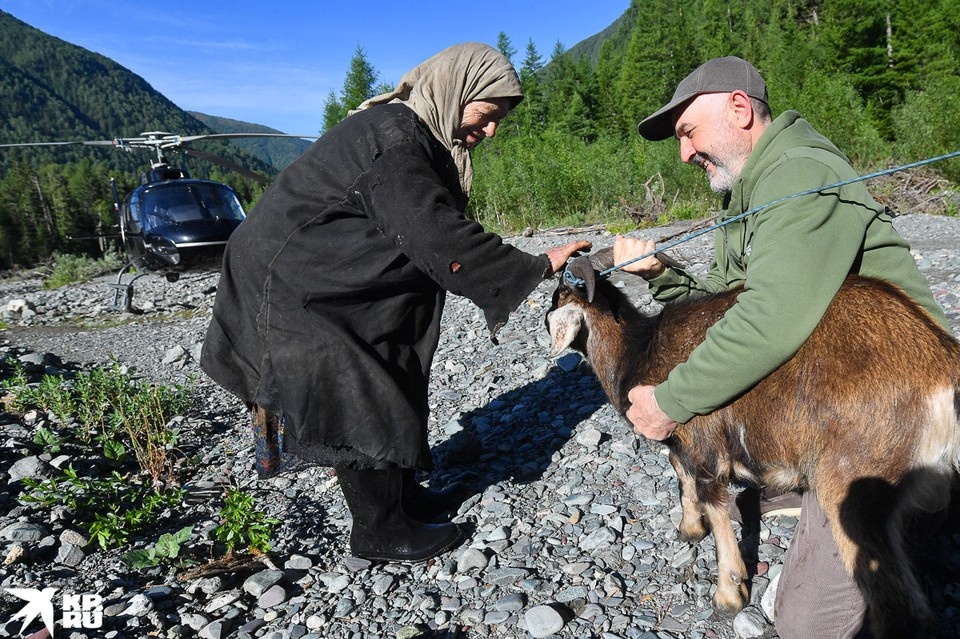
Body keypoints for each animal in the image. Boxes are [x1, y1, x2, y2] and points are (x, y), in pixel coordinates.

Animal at [548, 248, 960, 636]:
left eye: (557, 296)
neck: (640, 351)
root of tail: (942, 364)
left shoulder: (704, 443)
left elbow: (713, 504)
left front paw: (728, 594)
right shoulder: (678, 441)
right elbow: (680, 474)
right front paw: (689, 530)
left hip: (856, 486)